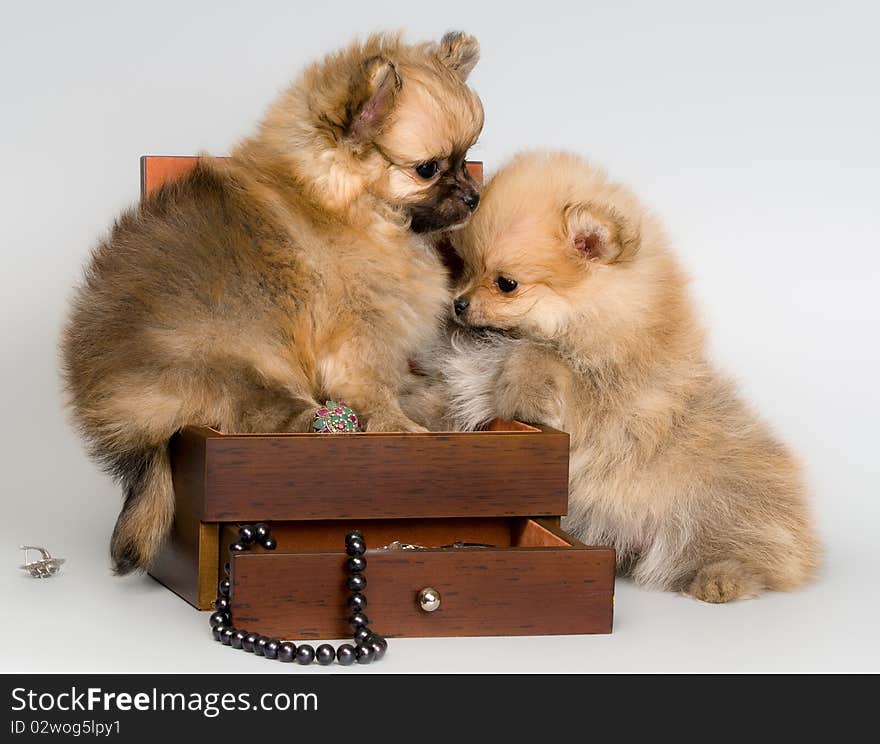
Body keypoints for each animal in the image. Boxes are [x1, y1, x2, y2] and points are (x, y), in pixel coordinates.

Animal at [62, 32, 484, 572]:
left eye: (468, 156)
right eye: (428, 169)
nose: (474, 196)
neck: (347, 211)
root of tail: (125, 422)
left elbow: (399, 382)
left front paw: (428, 400)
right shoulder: (356, 341)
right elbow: (374, 392)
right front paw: (401, 428)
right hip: (235, 363)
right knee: (267, 414)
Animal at [410, 153, 820, 604]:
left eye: (507, 284)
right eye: (464, 267)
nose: (459, 304)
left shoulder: (600, 401)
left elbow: (538, 359)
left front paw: (519, 383)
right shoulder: (460, 383)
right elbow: (441, 397)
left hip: (714, 512)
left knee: (751, 555)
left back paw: (720, 579)